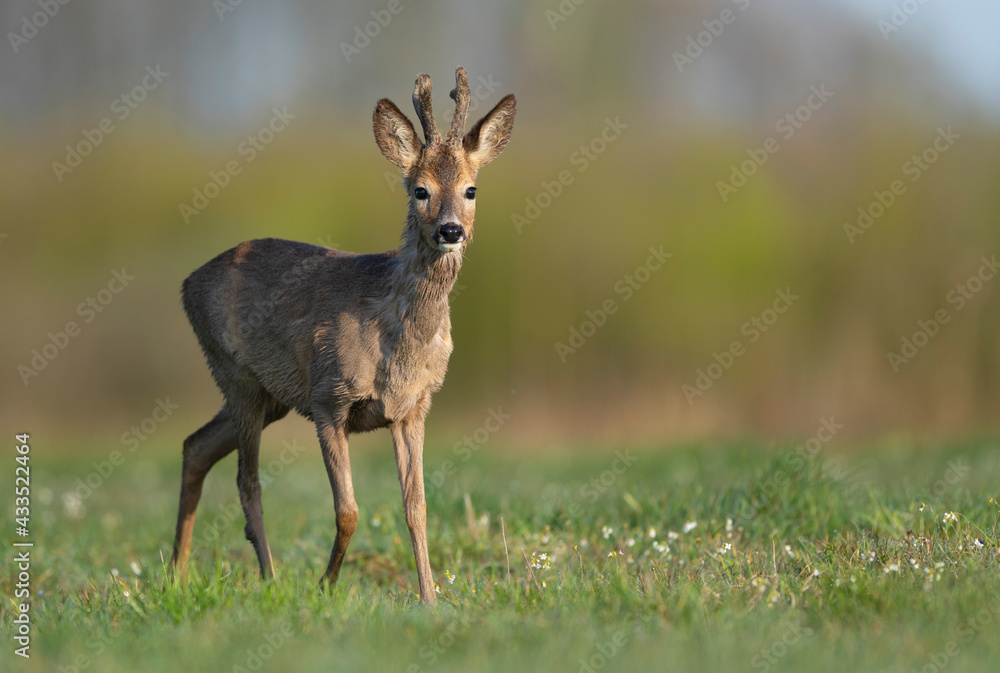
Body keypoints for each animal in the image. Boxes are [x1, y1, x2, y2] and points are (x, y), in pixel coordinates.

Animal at [169, 67, 515, 604]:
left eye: (471, 189)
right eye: (419, 190)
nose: (451, 230)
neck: (396, 342)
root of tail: (188, 283)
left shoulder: (414, 407)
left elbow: (416, 507)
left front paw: (431, 599)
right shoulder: (329, 398)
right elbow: (348, 510)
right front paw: (325, 585)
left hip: (270, 396)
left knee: (196, 446)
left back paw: (176, 575)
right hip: (235, 372)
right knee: (247, 480)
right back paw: (268, 579)